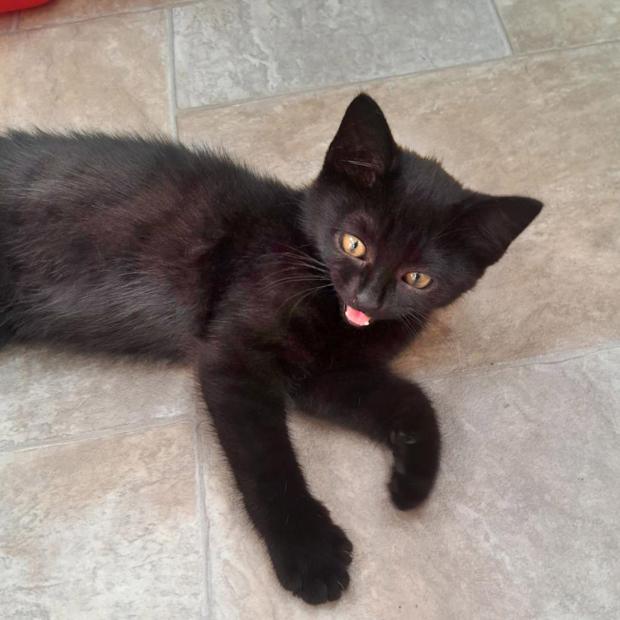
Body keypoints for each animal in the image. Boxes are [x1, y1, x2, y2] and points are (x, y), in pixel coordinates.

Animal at [0, 94, 542, 604]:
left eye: (417, 278)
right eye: (354, 244)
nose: (367, 299)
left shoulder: (327, 378)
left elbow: (413, 398)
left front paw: (411, 483)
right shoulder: (235, 358)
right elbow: (266, 459)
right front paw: (309, 552)